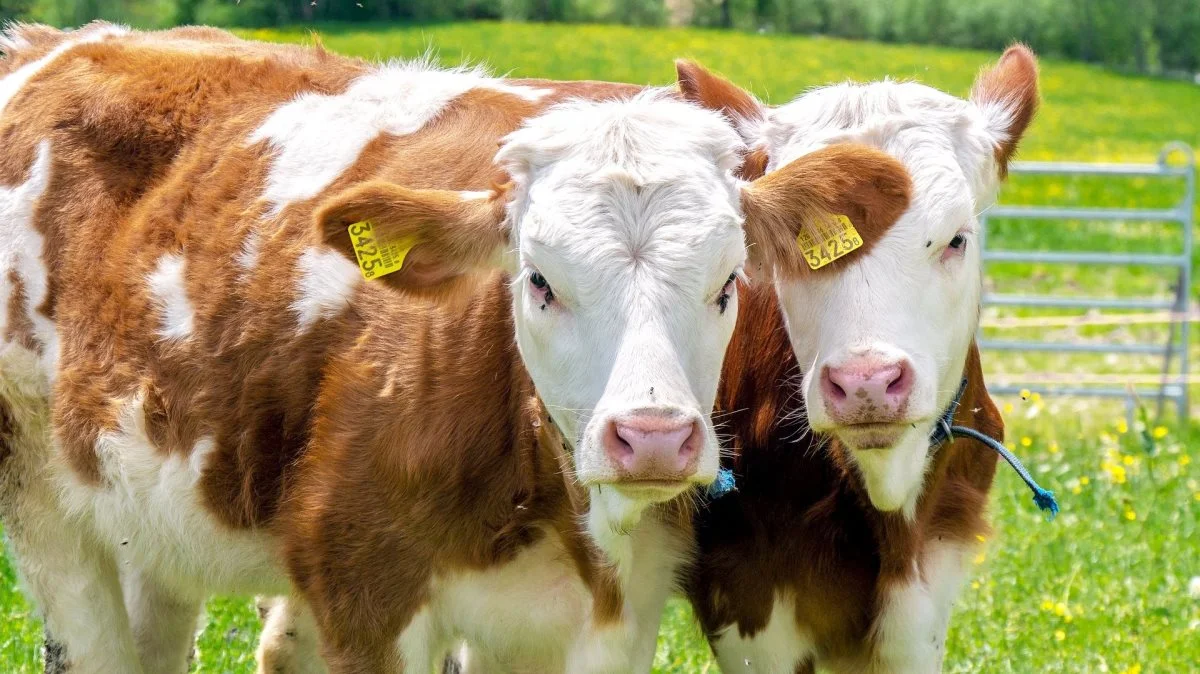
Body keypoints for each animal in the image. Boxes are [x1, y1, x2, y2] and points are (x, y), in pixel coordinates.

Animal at [0, 23, 907, 666]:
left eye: (728, 283)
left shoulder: (611, 615)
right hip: (43, 496)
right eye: (538, 280)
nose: (651, 438)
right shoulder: (363, 596)